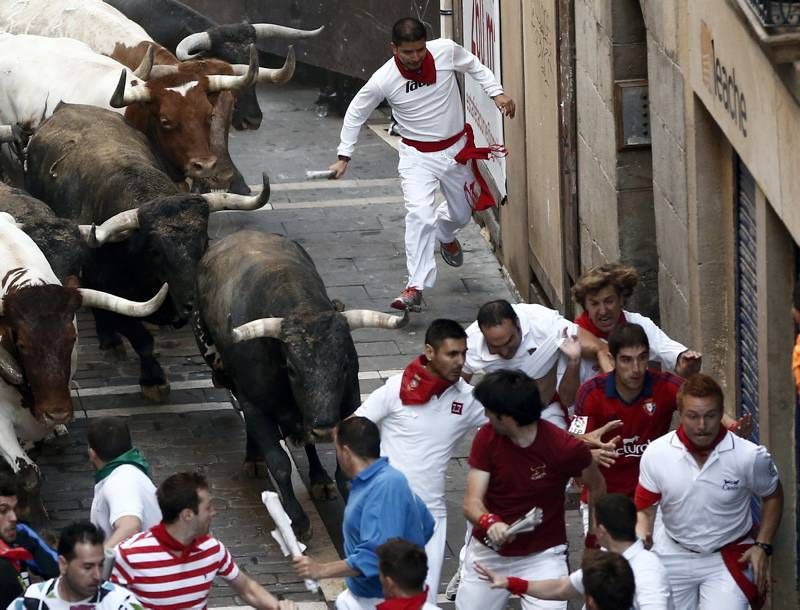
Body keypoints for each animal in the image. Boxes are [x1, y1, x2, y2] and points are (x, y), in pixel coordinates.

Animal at [194, 230, 406, 536]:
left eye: (344, 364)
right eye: (292, 369)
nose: (325, 428)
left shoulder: (349, 401)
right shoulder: (254, 404)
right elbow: (279, 462)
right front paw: (296, 518)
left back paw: (318, 479)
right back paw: (253, 459)